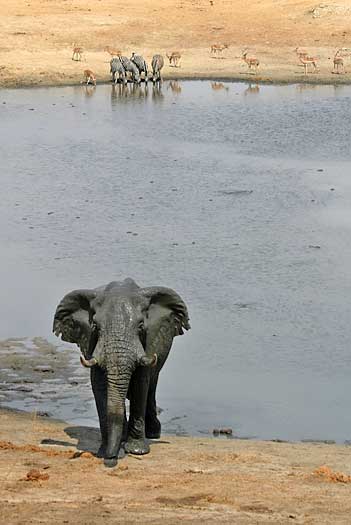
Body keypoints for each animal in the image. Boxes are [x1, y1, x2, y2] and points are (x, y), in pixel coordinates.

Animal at [53, 278, 190, 466]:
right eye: (95, 326)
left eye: (141, 326)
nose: (111, 460)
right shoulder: (92, 343)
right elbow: (99, 386)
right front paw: (105, 451)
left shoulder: (147, 342)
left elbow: (140, 384)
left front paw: (137, 450)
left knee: (151, 385)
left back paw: (153, 433)